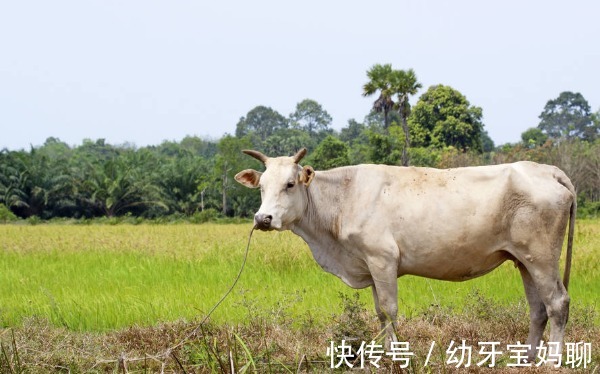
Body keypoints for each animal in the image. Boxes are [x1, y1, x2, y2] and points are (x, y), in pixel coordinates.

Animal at [234, 148, 576, 364]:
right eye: (261, 187)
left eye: (290, 184)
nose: (262, 218)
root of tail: (548, 170)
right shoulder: (370, 266)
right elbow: (380, 313)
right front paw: (386, 354)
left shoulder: (383, 259)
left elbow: (390, 309)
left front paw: (397, 356)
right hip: (524, 260)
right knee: (537, 308)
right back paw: (527, 357)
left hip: (542, 257)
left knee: (557, 302)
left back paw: (553, 359)